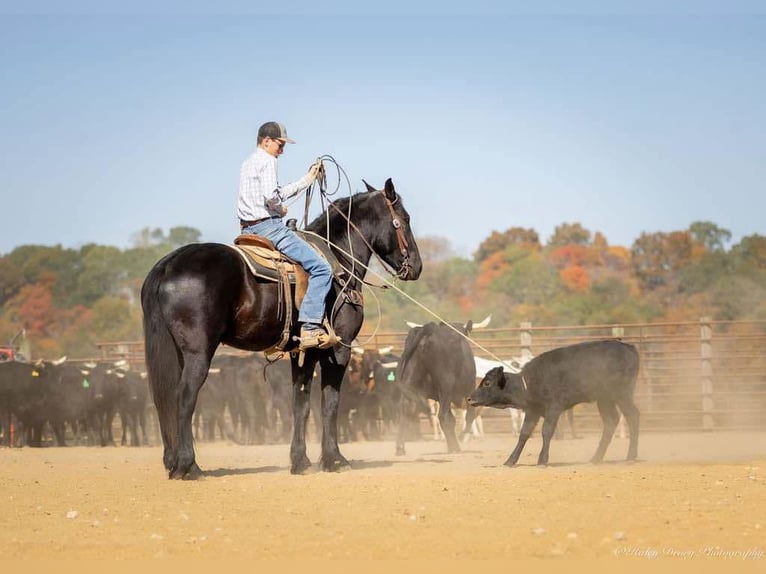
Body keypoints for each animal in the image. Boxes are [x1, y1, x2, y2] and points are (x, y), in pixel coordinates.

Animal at [141, 180, 424, 482]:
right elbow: (330, 403)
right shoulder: (338, 349)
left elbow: (300, 404)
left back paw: (173, 463)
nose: (417, 267)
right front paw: (334, 459)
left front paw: (300, 461)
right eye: (405, 219)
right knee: (184, 397)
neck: (338, 259)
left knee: (164, 398)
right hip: (198, 352)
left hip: (174, 351)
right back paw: (189, 465)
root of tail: (168, 264)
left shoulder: (303, 352)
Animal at [396, 318, 492, 456]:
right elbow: (469, 416)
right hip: (446, 385)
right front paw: (461, 438)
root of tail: (429, 330)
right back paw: (455, 446)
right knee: (443, 416)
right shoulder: (467, 391)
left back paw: (400, 447)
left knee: (404, 411)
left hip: (409, 382)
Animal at [468, 342, 640, 468]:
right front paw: (510, 461)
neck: (529, 382)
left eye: (487, 383)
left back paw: (631, 456)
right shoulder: (533, 411)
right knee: (611, 421)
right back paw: (596, 458)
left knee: (633, 416)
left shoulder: (553, 408)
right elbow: (524, 434)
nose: (469, 398)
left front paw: (542, 460)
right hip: (604, 399)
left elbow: (546, 431)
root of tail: (629, 348)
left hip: (621, 394)